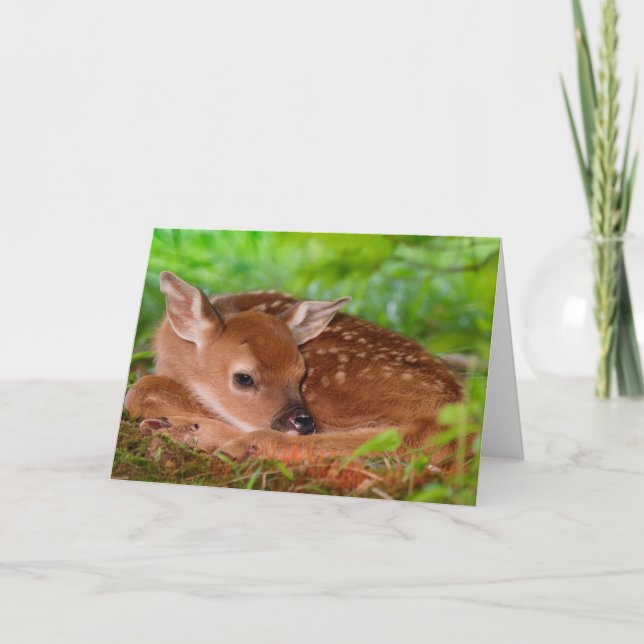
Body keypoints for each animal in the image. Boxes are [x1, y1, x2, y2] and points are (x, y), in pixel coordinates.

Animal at [124, 272, 463, 462]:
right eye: (244, 378)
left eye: (301, 373)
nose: (303, 423)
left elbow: (139, 392)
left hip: (335, 393)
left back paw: (183, 431)